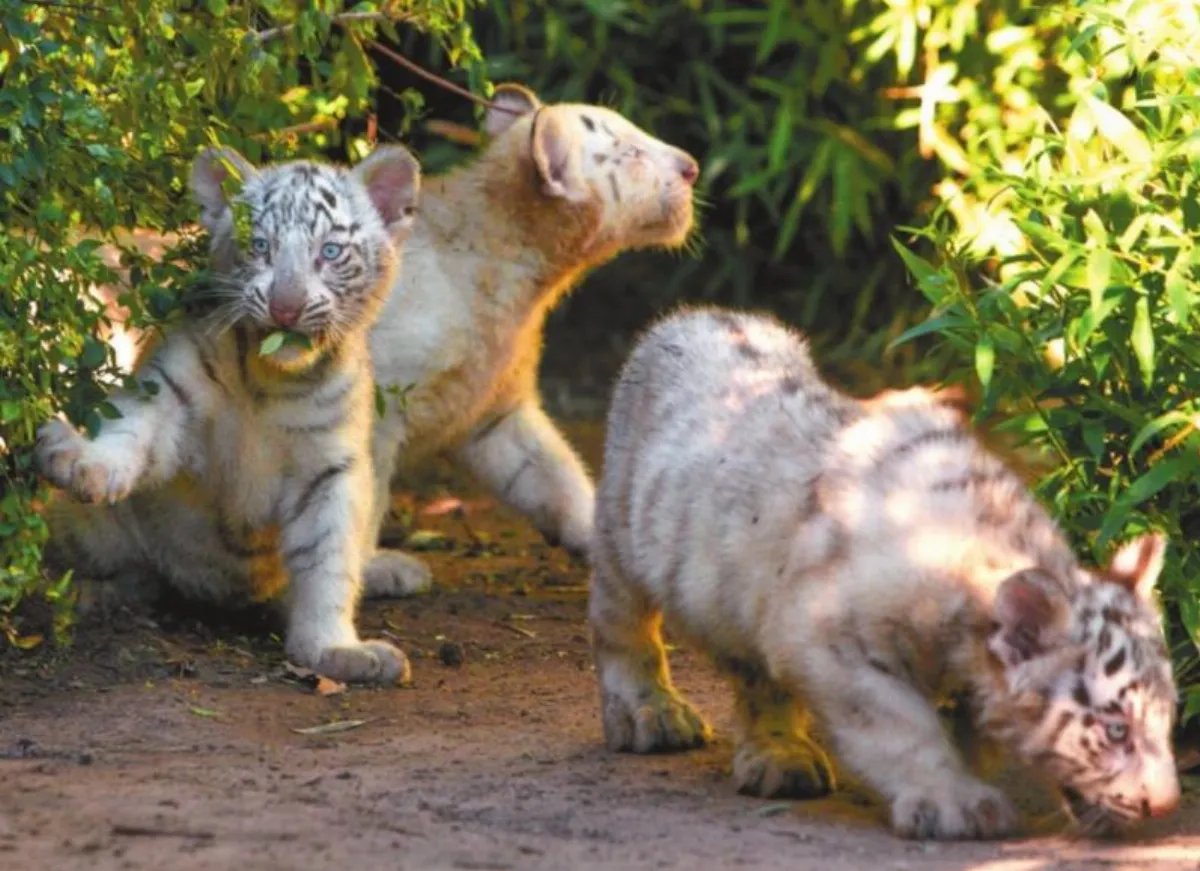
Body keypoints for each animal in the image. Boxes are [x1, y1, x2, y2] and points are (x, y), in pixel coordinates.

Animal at [35, 144, 422, 685]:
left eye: (329, 252)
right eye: (259, 245)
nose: (285, 308)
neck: (271, 379)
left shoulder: (329, 467)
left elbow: (327, 557)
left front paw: (333, 650)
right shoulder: (170, 392)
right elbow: (132, 427)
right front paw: (84, 462)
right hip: (90, 532)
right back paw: (94, 593)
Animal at [360, 83, 700, 599]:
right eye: (632, 154)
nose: (693, 166)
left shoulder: (494, 411)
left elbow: (553, 473)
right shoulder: (378, 409)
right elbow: (355, 496)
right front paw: (372, 571)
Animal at [589, 306, 1181, 839]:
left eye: (1169, 715)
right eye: (1115, 730)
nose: (1166, 805)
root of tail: (695, 315)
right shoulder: (826, 640)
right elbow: (901, 729)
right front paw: (955, 803)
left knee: (756, 679)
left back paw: (781, 759)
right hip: (620, 531)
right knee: (622, 623)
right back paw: (651, 715)